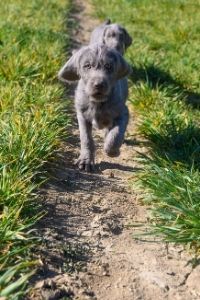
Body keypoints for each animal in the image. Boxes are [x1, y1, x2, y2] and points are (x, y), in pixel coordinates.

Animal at [59, 43, 131, 172]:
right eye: (87, 66)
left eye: (108, 66)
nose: (99, 84)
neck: (98, 103)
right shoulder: (82, 115)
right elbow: (86, 138)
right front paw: (86, 160)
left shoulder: (123, 113)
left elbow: (116, 135)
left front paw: (112, 151)